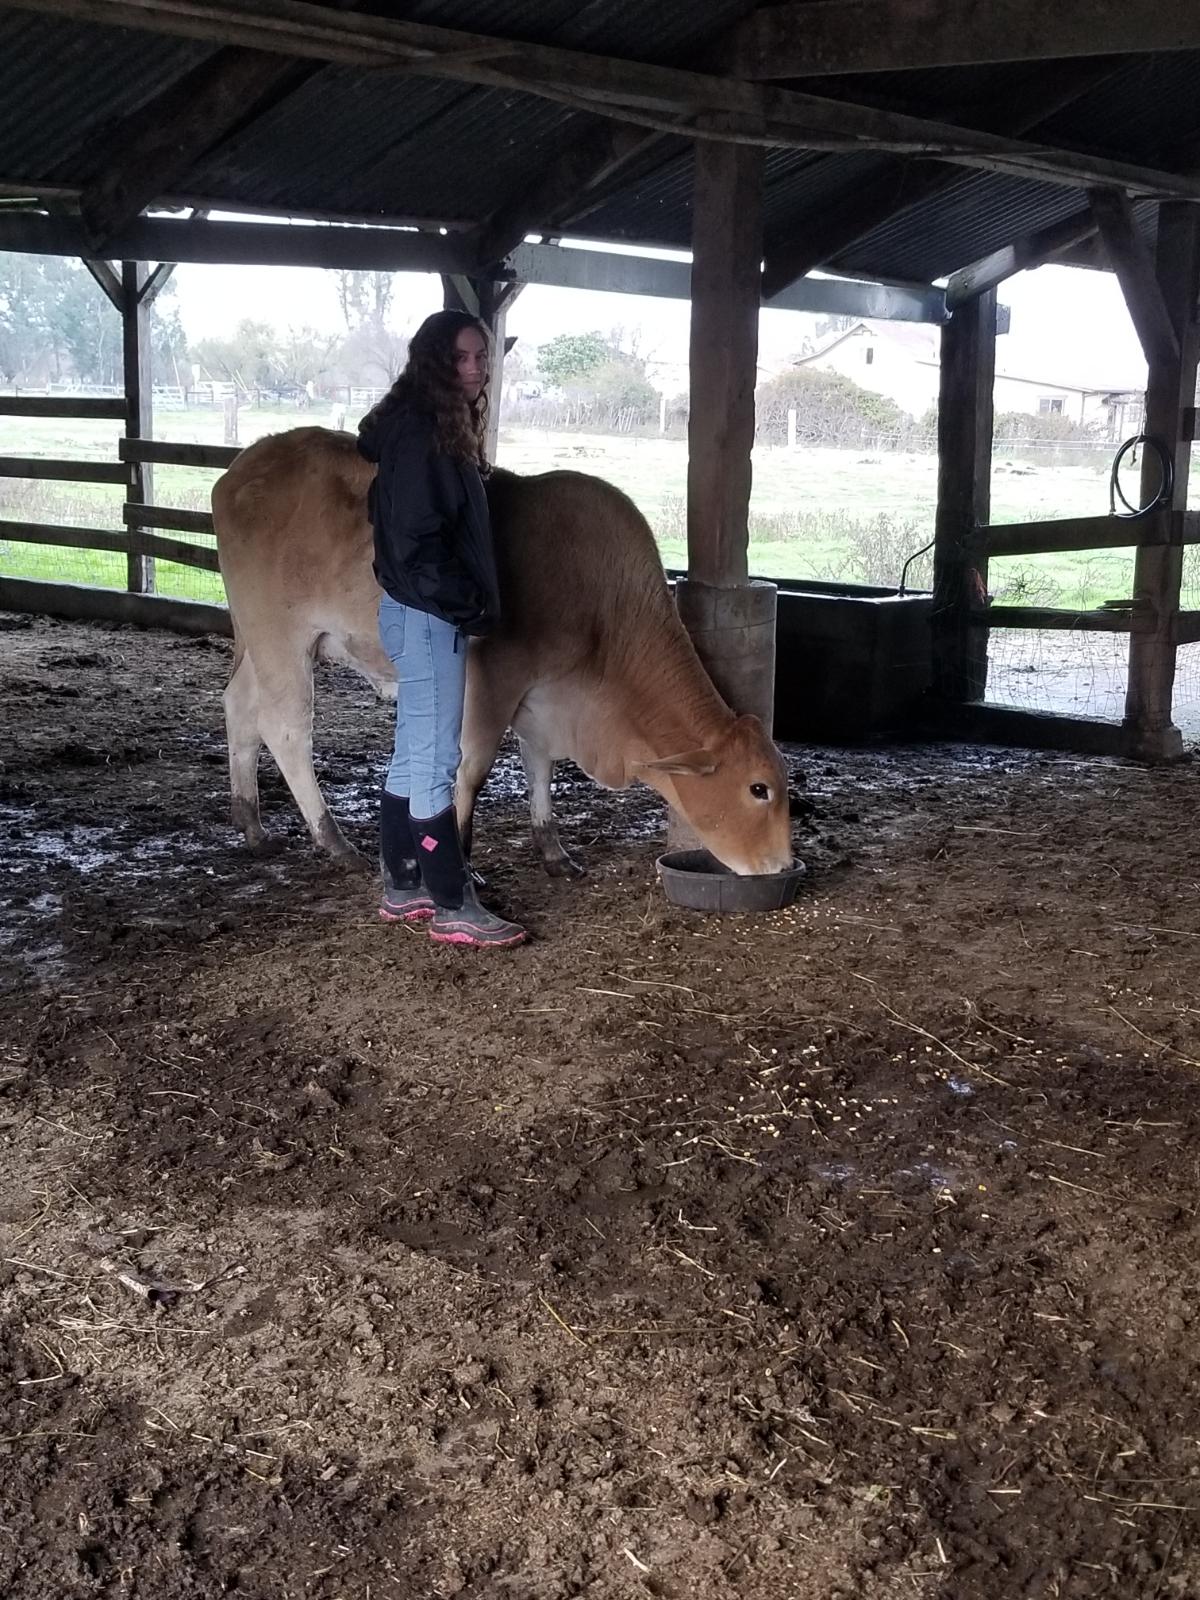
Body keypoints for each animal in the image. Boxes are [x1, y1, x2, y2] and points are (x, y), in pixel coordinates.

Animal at [211, 427, 793, 879]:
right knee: (286, 730)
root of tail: (244, 465)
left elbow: (540, 764)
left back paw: (251, 822)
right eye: (758, 789)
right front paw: (462, 857)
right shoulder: (494, 677)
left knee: (239, 707)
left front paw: (552, 848)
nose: (782, 864)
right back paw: (332, 839)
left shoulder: (544, 694)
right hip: (282, 638)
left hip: (261, 643)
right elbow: (473, 767)